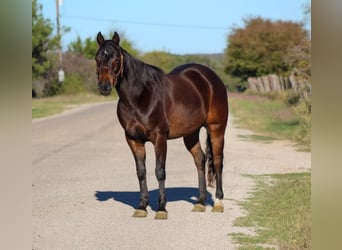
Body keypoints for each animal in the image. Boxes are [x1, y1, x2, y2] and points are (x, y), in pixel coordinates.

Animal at [95, 31, 228, 219]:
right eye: (97, 58)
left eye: (115, 58)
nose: (104, 86)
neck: (141, 96)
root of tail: (211, 78)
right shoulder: (133, 139)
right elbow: (141, 171)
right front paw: (142, 206)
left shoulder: (159, 138)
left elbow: (160, 171)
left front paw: (161, 209)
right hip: (191, 133)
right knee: (200, 160)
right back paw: (200, 203)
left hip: (217, 128)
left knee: (217, 161)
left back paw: (218, 202)